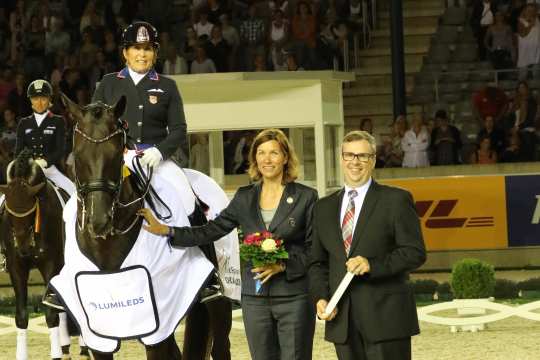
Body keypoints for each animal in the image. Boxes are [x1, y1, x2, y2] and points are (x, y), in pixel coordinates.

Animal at [0, 149, 86, 358]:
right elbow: (21, 316)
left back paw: (81, 350)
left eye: (32, 213)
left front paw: (55, 354)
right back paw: (65, 348)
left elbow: (51, 314)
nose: (23, 249)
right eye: (8, 213)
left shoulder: (50, 264)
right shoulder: (17, 266)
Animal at [62, 94, 232, 358]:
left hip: (221, 297)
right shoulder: (98, 331)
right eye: (78, 155)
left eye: (116, 155)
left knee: (221, 345)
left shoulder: (157, 322)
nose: (99, 221)